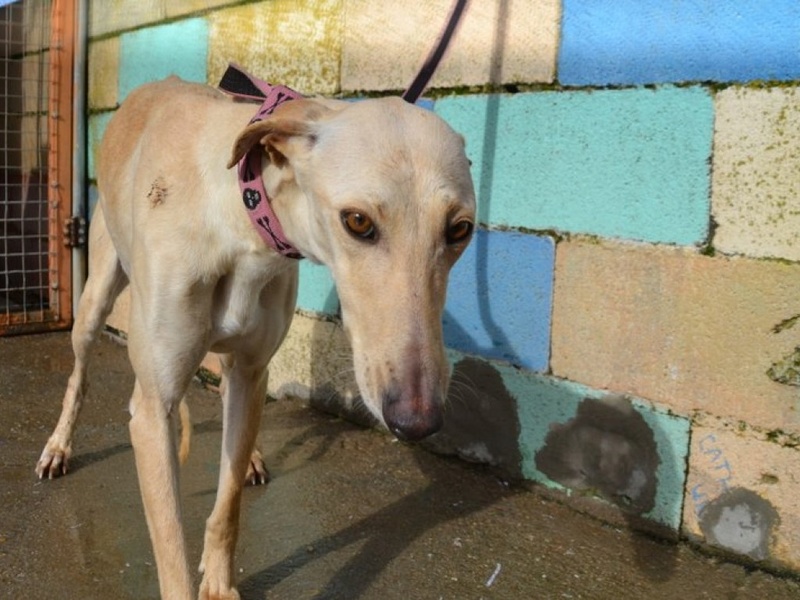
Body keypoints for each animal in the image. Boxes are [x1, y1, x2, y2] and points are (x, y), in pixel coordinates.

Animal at [36, 76, 476, 600]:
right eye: (358, 221)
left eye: (460, 229)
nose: (417, 420)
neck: (240, 223)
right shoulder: (154, 409)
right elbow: (172, 554)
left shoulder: (251, 371)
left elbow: (227, 504)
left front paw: (219, 580)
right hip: (94, 301)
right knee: (78, 376)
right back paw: (58, 447)